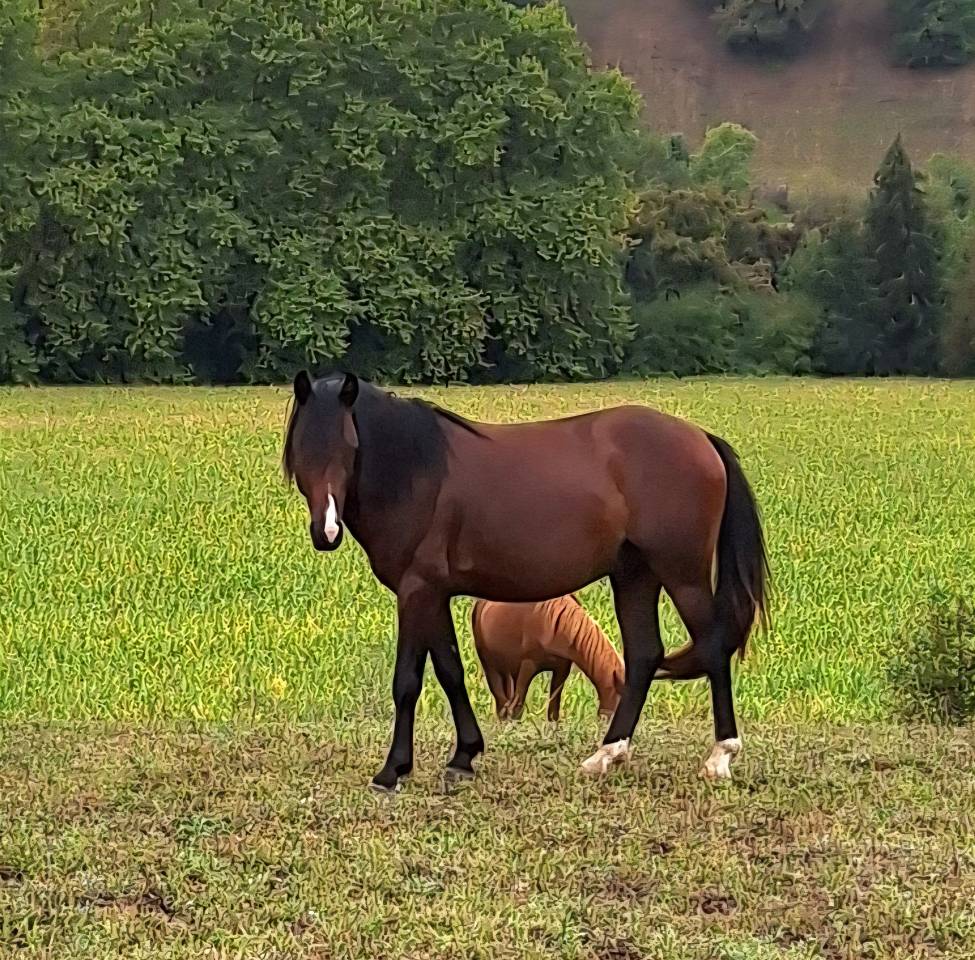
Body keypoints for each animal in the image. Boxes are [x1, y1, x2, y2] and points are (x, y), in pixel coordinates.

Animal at [471, 595, 624, 722]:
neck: (555, 625)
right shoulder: (527, 665)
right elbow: (517, 707)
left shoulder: (562, 668)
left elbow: (553, 710)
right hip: (490, 665)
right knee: (501, 700)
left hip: (509, 669)